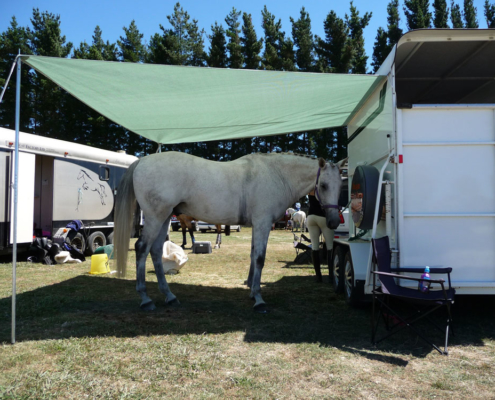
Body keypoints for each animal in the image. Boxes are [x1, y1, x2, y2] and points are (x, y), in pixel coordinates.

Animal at [115, 152, 344, 312]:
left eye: (341, 185)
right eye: (323, 185)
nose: (333, 221)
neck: (276, 175)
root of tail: (142, 162)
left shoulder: (257, 225)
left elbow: (253, 255)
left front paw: (252, 291)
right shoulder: (262, 223)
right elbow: (259, 258)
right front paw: (259, 299)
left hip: (163, 219)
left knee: (155, 251)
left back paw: (170, 297)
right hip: (156, 217)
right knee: (141, 248)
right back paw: (146, 300)